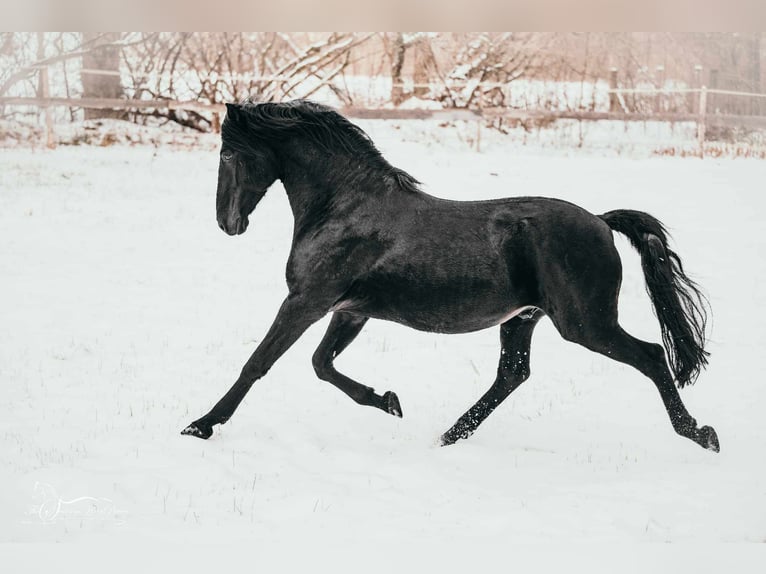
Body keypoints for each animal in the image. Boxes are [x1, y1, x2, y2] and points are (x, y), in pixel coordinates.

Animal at [182, 102, 720, 454]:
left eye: (227, 154)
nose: (227, 223)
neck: (345, 208)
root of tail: (602, 222)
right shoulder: (349, 311)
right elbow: (321, 364)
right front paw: (388, 401)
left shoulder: (306, 301)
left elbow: (259, 363)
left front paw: (201, 426)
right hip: (523, 318)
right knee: (512, 375)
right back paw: (448, 435)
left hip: (584, 324)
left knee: (651, 356)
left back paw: (700, 434)